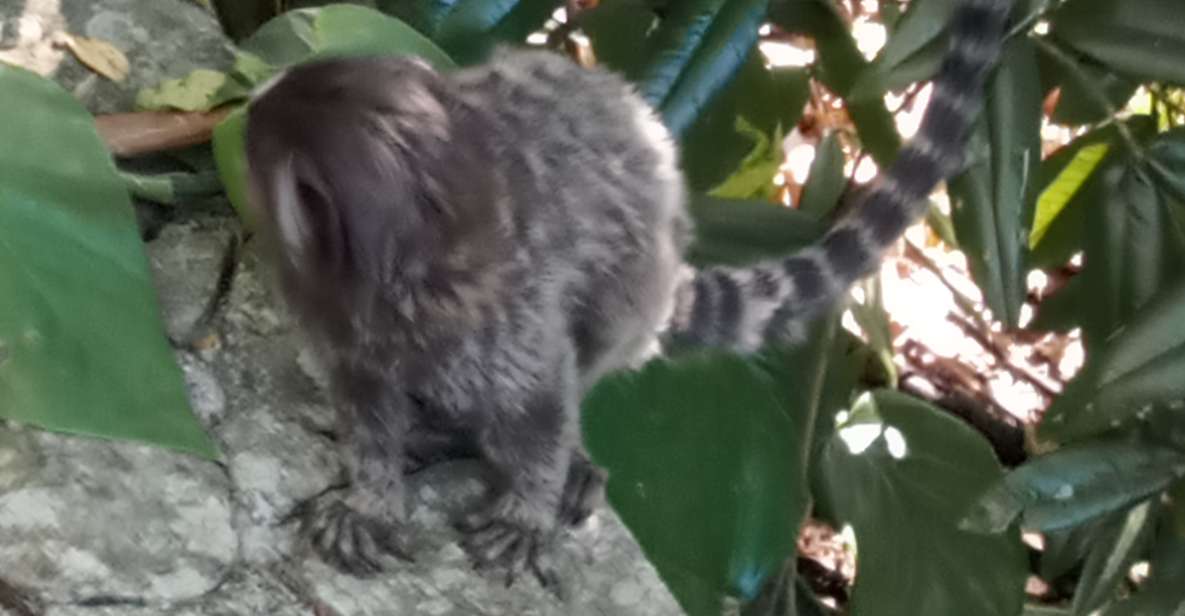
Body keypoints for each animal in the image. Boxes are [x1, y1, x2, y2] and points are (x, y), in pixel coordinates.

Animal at [245, 0, 1014, 592]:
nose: (249, 108)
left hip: (630, 302)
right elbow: (367, 410)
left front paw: (527, 514)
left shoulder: (501, 323)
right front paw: (372, 501)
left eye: (261, 149)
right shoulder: (351, 331)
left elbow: (538, 412)